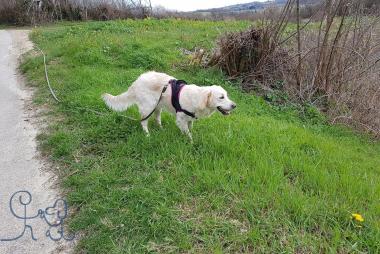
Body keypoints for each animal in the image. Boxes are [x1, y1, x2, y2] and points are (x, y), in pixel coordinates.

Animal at [102, 70, 236, 140]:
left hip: (157, 107)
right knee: (143, 121)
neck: (198, 98)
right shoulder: (181, 119)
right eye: (221, 97)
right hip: (148, 106)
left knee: (157, 119)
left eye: (227, 95)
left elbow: (190, 127)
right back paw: (147, 135)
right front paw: (191, 142)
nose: (234, 105)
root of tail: (137, 81)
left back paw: (161, 129)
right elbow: (188, 133)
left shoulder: (189, 118)